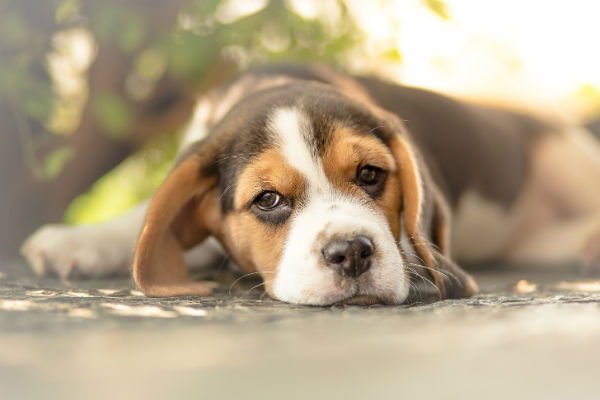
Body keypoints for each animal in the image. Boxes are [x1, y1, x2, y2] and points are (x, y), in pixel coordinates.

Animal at [21, 64, 600, 304]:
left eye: (370, 174)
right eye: (268, 199)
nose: (352, 253)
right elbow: (142, 213)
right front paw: (80, 241)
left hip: (568, 156)